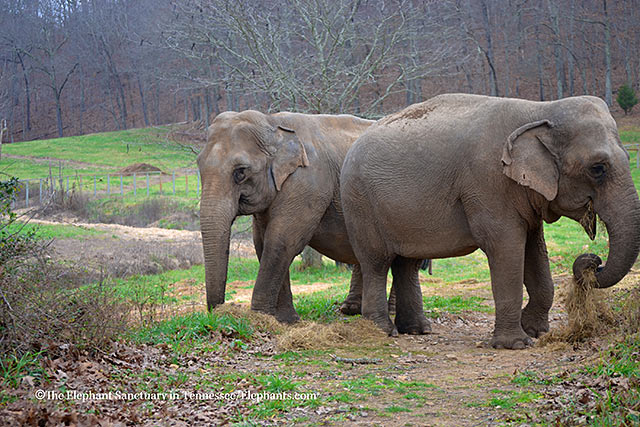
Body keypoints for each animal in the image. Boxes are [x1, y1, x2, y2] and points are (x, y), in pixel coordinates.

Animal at [198, 109, 384, 320]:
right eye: (199, 166)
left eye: (241, 172)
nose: (219, 312)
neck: (273, 122)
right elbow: (261, 242)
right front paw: (285, 320)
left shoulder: (308, 184)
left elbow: (282, 241)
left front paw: (260, 317)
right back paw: (351, 310)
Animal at [342, 93, 640, 348]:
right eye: (598, 168)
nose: (593, 261)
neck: (540, 110)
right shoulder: (488, 182)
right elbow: (506, 246)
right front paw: (516, 344)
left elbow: (535, 247)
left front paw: (536, 331)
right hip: (360, 204)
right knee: (376, 262)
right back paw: (383, 331)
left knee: (407, 263)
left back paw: (417, 330)